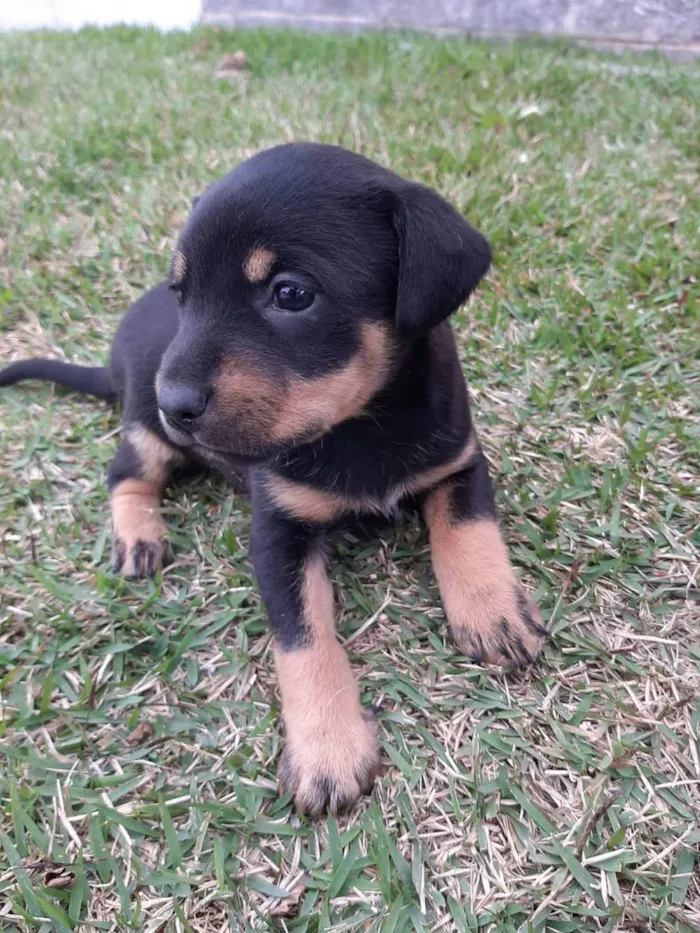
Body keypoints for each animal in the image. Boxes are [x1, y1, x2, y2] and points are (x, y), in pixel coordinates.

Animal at [0, 140, 548, 816]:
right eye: (182, 293)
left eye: (290, 293)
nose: (174, 403)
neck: (358, 426)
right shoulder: (277, 534)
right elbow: (304, 639)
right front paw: (328, 753)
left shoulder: (458, 460)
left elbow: (468, 531)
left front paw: (493, 611)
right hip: (146, 432)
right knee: (126, 473)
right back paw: (139, 537)